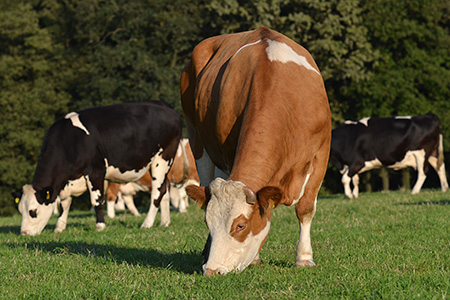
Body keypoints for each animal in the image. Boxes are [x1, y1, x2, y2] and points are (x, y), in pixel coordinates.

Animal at [17, 101, 183, 234]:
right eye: (20, 211)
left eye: (33, 212)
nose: (24, 233)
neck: (69, 142)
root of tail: (165, 105)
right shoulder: (67, 180)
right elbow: (65, 203)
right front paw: (60, 227)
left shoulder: (95, 170)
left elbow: (96, 200)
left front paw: (100, 226)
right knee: (165, 188)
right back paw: (165, 222)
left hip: (162, 158)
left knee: (157, 192)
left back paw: (147, 223)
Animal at [181, 27, 332, 276]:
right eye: (208, 224)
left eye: (240, 225)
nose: (211, 270)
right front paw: (255, 259)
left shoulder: (321, 154)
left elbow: (305, 209)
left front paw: (304, 258)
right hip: (197, 140)